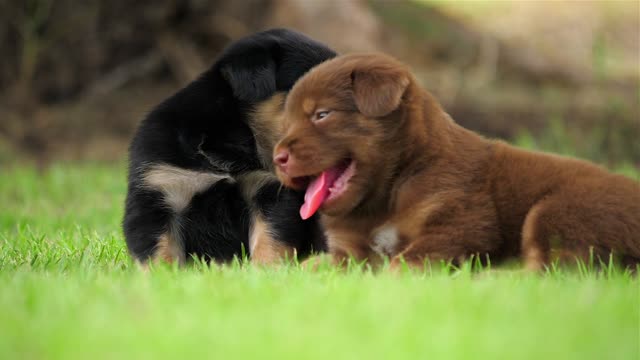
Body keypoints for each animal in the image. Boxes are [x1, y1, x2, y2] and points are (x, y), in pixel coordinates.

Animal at [123, 28, 338, 264]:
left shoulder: (266, 191)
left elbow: (269, 239)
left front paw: (266, 268)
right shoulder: (159, 191)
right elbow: (159, 250)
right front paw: (162, 273)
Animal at [272, 52, 640, 268]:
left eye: (322, 114)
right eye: (286, 123)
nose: (277, 158)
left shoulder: (459, 226)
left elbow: (405, 261)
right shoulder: (348, 250)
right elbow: (308, 266)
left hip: (559, 210)